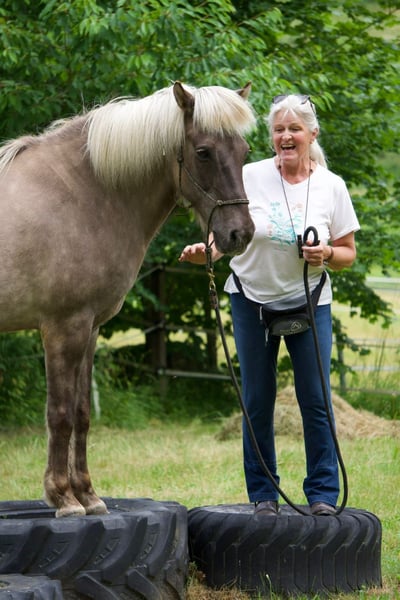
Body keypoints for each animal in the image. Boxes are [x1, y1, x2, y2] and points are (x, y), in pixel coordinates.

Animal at [0, 81, 256, 517]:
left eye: (244, 151)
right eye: (203, 152)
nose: (240, 233)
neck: (81, 193)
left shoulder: (89, 329)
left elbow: (82, 413)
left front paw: (88, 495)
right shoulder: (63, 328)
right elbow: (60, 413)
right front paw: (63, 497)